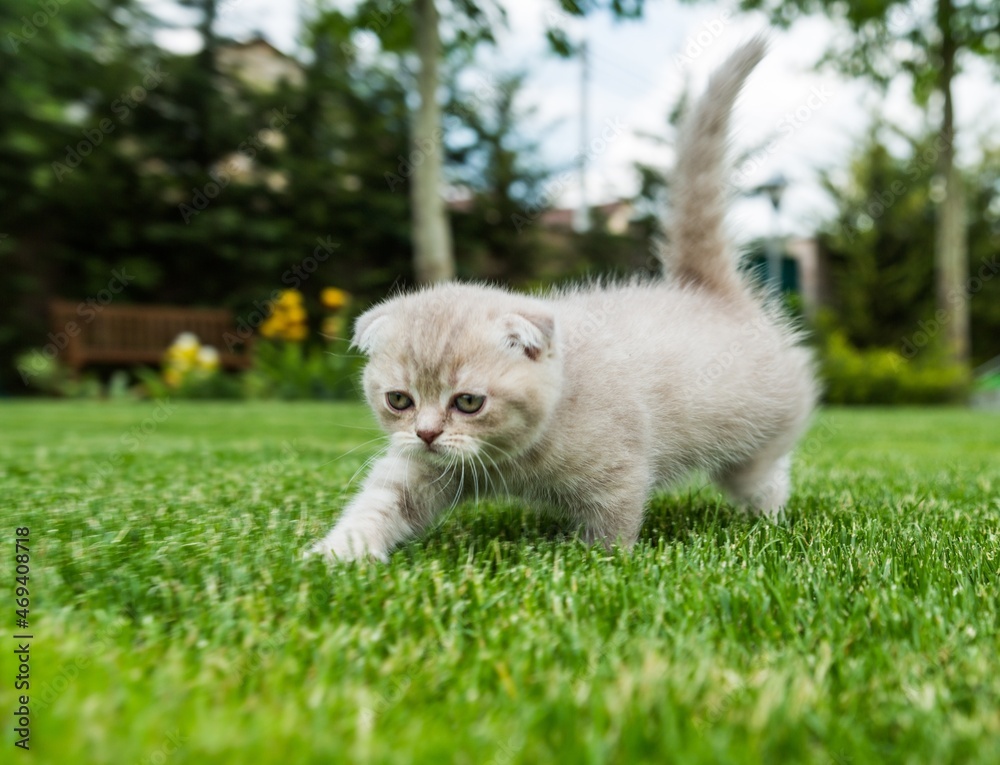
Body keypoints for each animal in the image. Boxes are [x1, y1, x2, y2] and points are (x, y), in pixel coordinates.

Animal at [308, 35, 816, 560]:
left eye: (468, 402)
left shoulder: (619, 471)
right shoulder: (420, 467)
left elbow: (612, 526)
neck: (509, 459)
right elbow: (382, 501)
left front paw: (600, 561)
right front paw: (334, 555)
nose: (427, 433)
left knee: (765, 477)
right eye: (399, 400)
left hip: (754, 442)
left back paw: (769, 521)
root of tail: (704, 289)